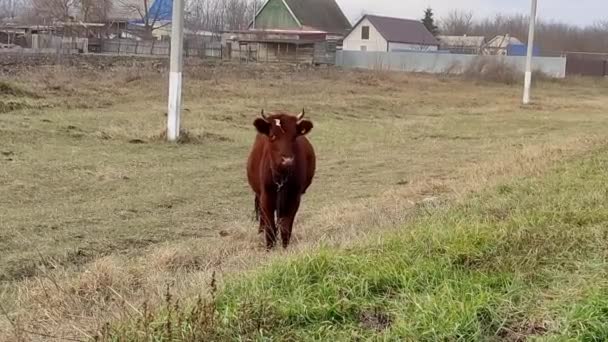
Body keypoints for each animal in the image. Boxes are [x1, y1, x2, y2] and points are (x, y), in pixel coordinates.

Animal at [246, 110, 316, 251]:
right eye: (272, 136)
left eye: (294, 136)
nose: (287, 160)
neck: (281, 178)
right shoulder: (266, 197)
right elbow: (270, 227)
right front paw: (269, 249)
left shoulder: (294, 198)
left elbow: (285, 226)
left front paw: (285, 248)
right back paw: (260, 231)